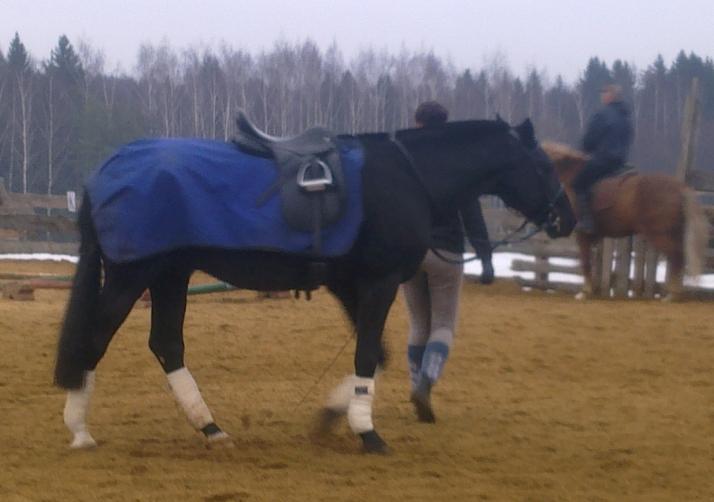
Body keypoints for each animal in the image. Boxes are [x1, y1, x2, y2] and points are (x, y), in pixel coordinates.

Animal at [54, 118, 575, 454]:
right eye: (546, 167)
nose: (566, 218)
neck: (407, 176)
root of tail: (105, 172)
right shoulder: (380, 282)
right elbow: (368, 353)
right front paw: (367, 431)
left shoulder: (349, 284)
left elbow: (378, 354)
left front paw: (334, 414)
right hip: (133, 275)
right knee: (95, 340)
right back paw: (79, 430)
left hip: (170, 275)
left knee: (166, 344)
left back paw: (211, 428)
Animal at [541, 141, 708, 300]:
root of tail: (679, 187)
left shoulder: (583, 235)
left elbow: (585, 262)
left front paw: (585, 292)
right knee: (679, 258)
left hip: (661, 234)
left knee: (676, 257)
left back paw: (672, 295)